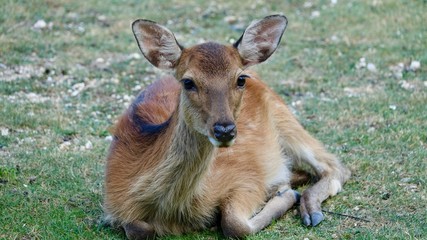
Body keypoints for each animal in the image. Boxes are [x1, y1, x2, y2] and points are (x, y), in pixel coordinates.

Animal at [103, 14, 352, 238]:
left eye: (240, 79)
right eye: (188, 82)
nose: (225, 130)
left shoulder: (247, 177)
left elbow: (235, 224)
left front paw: (284, 194)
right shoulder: (114, 203)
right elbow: (137, 228)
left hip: (285, 118)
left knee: (335, 166)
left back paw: (309, 209)